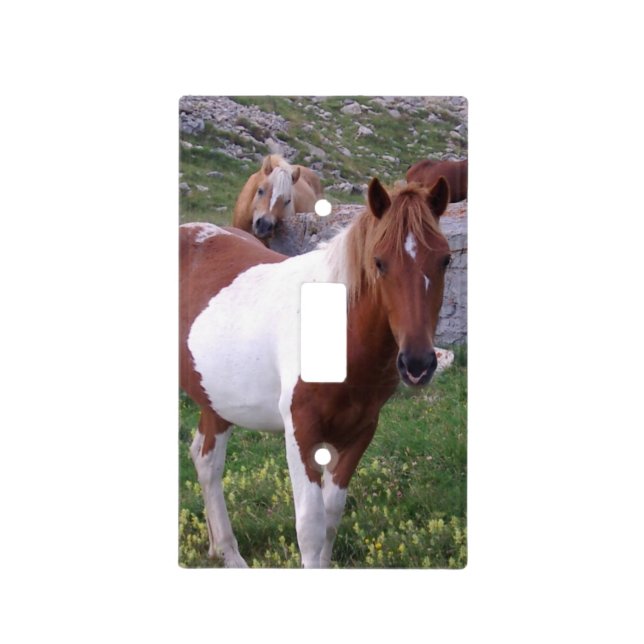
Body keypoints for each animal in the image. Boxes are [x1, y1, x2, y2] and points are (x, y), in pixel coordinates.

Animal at [180, 176, 452, 567]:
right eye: (379, 262)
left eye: (445, 259)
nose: (417, 363)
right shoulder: (301, 429)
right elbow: (310, 526)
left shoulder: (360, 430)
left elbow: (331, 518)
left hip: (216, 400)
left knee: (206, 462)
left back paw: (223, 550)